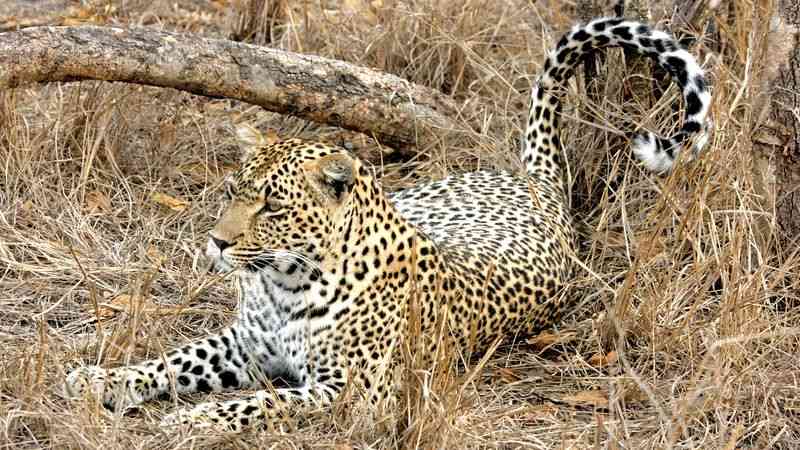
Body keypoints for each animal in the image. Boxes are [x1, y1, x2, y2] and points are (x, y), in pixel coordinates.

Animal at [65, 16, 711, 431]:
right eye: (232, 193)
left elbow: (263, 403)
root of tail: (540, 189)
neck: (284, 282)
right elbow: (172, 360)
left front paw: (196, 417)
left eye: (272, 207)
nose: (217, 244)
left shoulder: (352, 389)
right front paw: (101, 380)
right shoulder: (243, 342)